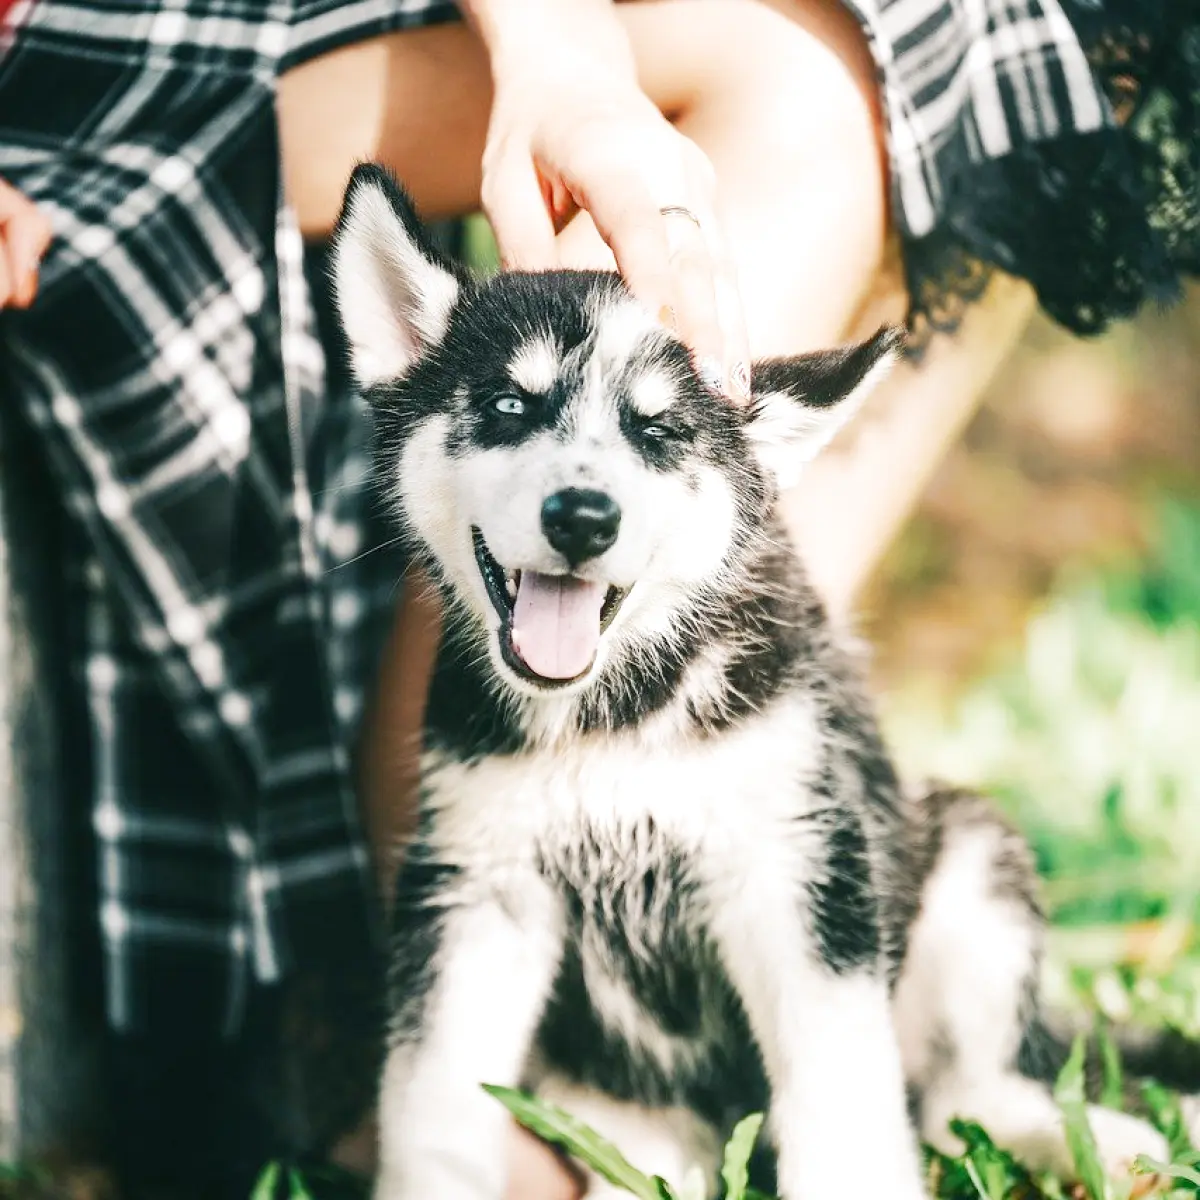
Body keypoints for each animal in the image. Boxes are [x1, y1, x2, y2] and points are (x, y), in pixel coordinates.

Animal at [328, 162, 1171, 1200]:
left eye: (659, 432)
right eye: (508, 407)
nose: (583, 517)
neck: (617, 719)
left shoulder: (798, 869)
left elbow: (844, 1101)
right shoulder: (475, 891)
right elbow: (434, 1103)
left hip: (971, 861)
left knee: (965, 1097)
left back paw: (1094, 1142)